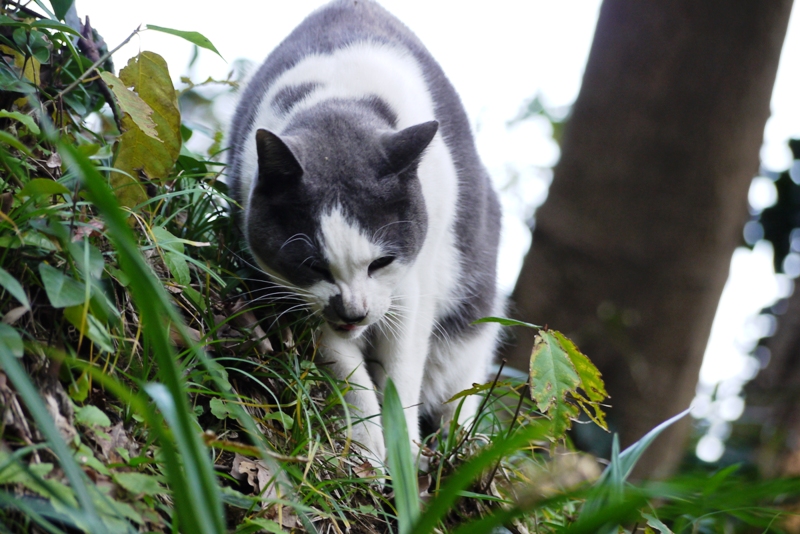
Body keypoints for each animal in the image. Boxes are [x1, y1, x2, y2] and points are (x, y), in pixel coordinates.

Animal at [225, 0, 500, 464]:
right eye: (313, 265)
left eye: (381, 261)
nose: (353, 312)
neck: (340, 101)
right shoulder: (301, 296)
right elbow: (346, 371)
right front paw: (367, 449)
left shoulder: (409, 289)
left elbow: (401, 373)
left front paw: (404, 456)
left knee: (458, 386)